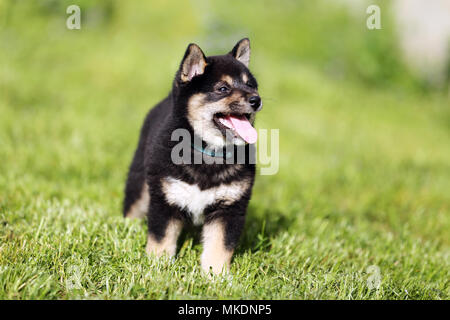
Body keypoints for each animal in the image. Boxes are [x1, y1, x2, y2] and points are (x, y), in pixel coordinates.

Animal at [124, 38, 264, 276]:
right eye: (223, 88)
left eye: (251, 86)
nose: (256, 100)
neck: (208, 153)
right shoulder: (164, 200)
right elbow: (161, 241)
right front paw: (157, 269)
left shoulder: (229, 208)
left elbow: (219, 247)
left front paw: (216, 277)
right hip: (140, 182)